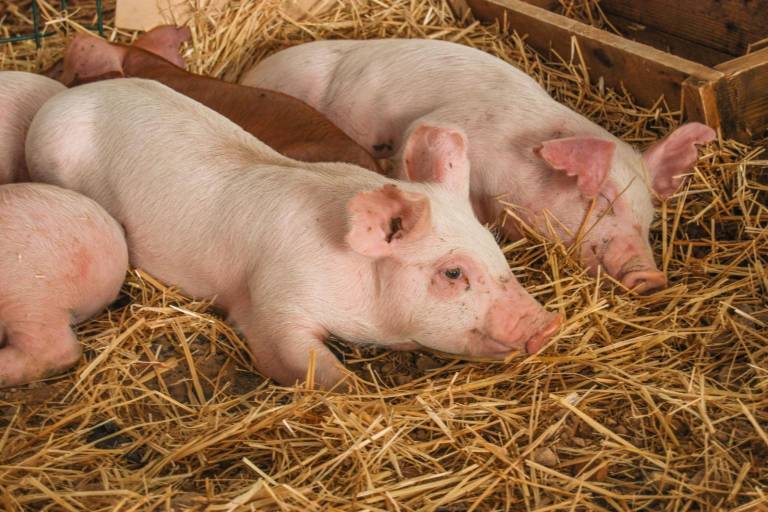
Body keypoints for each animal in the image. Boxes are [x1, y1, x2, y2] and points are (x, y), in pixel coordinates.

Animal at [26, 78, 561, 389]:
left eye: (495, 247)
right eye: (452, 273)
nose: (547, 324)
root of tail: (58, 99)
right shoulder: (272, 301)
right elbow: (307, 365)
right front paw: (353, 392)